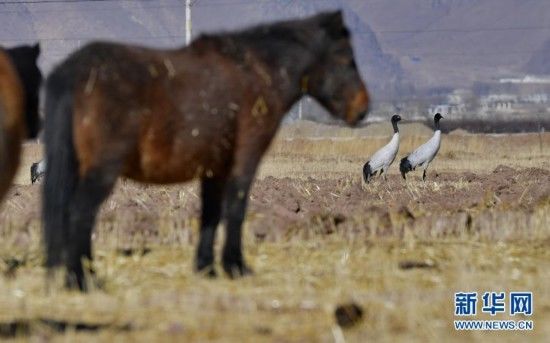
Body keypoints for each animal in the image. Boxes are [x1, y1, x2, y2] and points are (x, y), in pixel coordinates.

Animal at [43, 10, 370, 290]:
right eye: (347, 58)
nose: (363, 108)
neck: (255, 71)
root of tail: (74, 71)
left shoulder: (214, 170)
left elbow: (211, 215)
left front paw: (206, 268)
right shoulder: (244, 161)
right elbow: (236, 210)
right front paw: (235, 266)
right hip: (101, 171)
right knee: (79, 214)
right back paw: (81, 280)